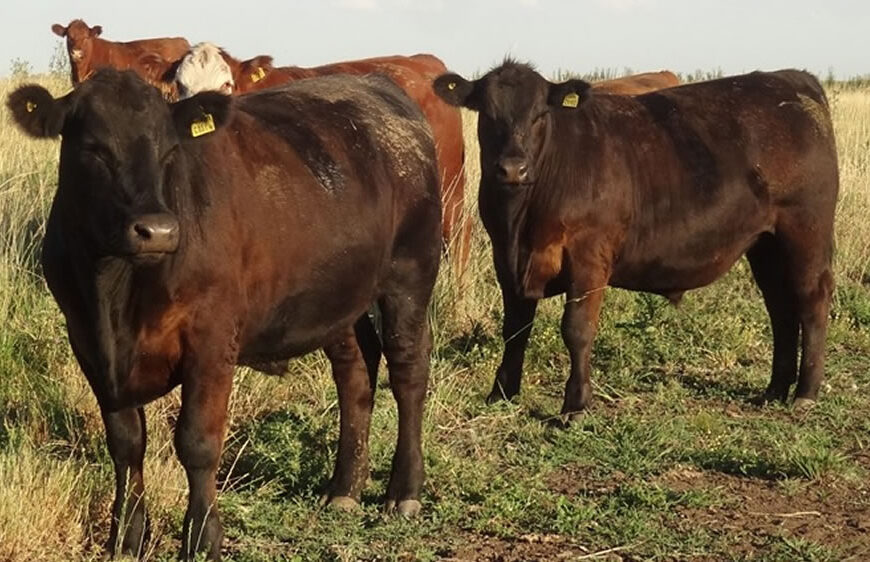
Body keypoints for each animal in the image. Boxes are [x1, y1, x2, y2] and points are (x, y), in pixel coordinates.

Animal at [6, 68, 442, 556]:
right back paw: (344, 488)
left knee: (408, 372)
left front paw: (201, 538)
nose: (158, 230)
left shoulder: (211, 339)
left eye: (169, 150)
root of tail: (376, 84)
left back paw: (404, 492)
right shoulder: (88, 342)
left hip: (411, 272)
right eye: (94, 149)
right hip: (339, 295)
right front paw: (127, 536)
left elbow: (197, 442)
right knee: (356, 373)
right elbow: (125, 443)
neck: (114, 289)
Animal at [436, 62, 836, 420]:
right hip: (766, 244)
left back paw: (806, 393)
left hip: (805, 231)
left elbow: (577, 330)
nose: (513, 169)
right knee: (780, 308)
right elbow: (515, 328)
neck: (521, 219)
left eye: (539, 115)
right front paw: (501, 392)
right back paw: (775, 389)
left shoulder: (588, 257)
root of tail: (792, 80)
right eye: (488, 114)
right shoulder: (508, 260)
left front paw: (575, 406)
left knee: (812, 300)